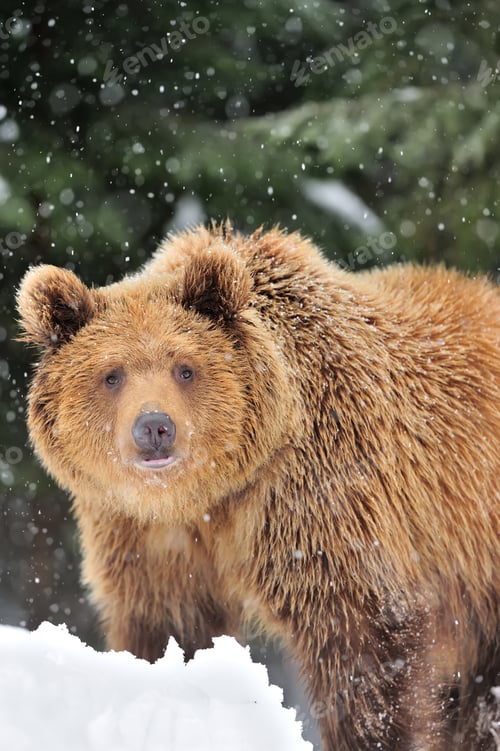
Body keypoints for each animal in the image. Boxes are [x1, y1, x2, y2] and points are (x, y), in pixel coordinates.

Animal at [17, 224, 500, 750]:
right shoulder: (145, 535)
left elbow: (365, 648)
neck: (213, 494)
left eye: (185, 368)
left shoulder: (320, 503)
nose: (154, 427)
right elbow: (169, 624)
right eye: (112, 374)